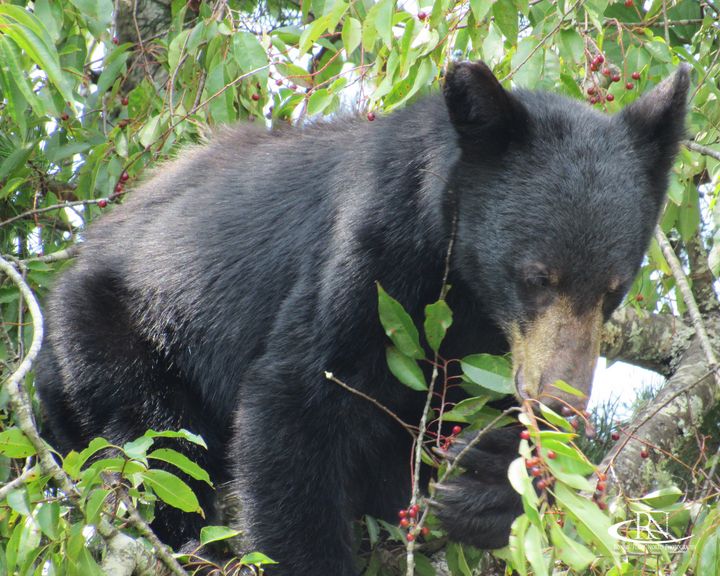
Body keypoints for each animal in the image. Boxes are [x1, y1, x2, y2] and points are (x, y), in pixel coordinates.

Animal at [36, 61, 689, 575]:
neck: (464, 285)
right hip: (116, 335)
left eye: (614, 289)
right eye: (535, 277)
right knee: (162, 442)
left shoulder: (493, 345)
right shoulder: (371, 257)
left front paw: (484, 481)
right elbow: (294, 403)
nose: (561, 402)